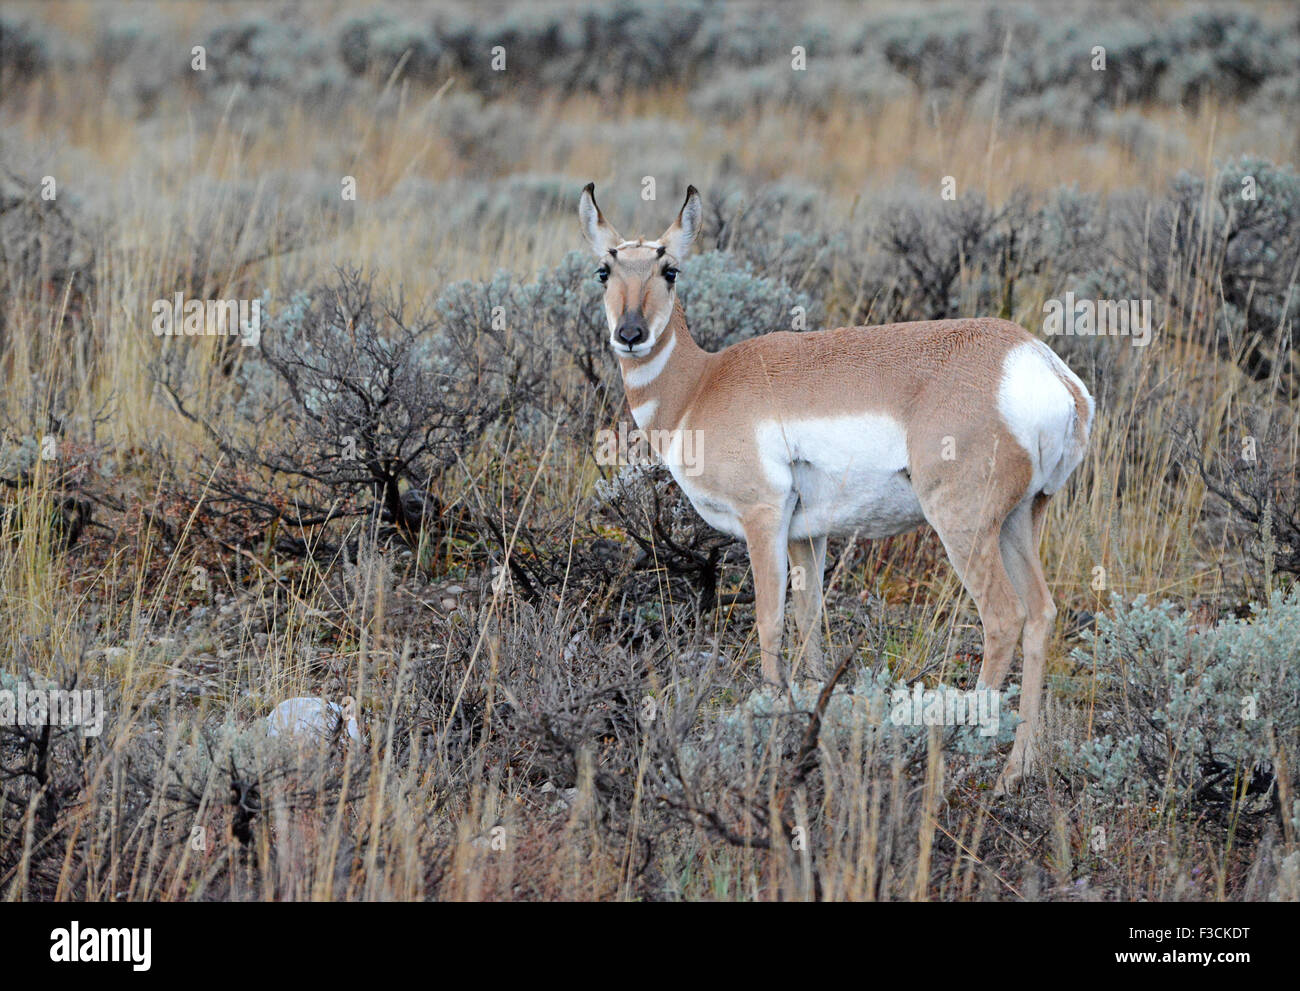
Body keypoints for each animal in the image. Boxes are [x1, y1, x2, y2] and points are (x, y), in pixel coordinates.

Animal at [577, 183, 1086, 785]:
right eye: (604, 271)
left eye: (670, 269)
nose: (630, 335)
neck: (701, 385)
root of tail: (1039, 365)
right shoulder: (807, 537)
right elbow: (810, 623)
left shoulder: (763, 520)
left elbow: (771, 623)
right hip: (1018, 522)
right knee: (1041, 614)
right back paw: (1016, 770)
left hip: (963, 526)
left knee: (1003, 619)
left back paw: (956, 752)